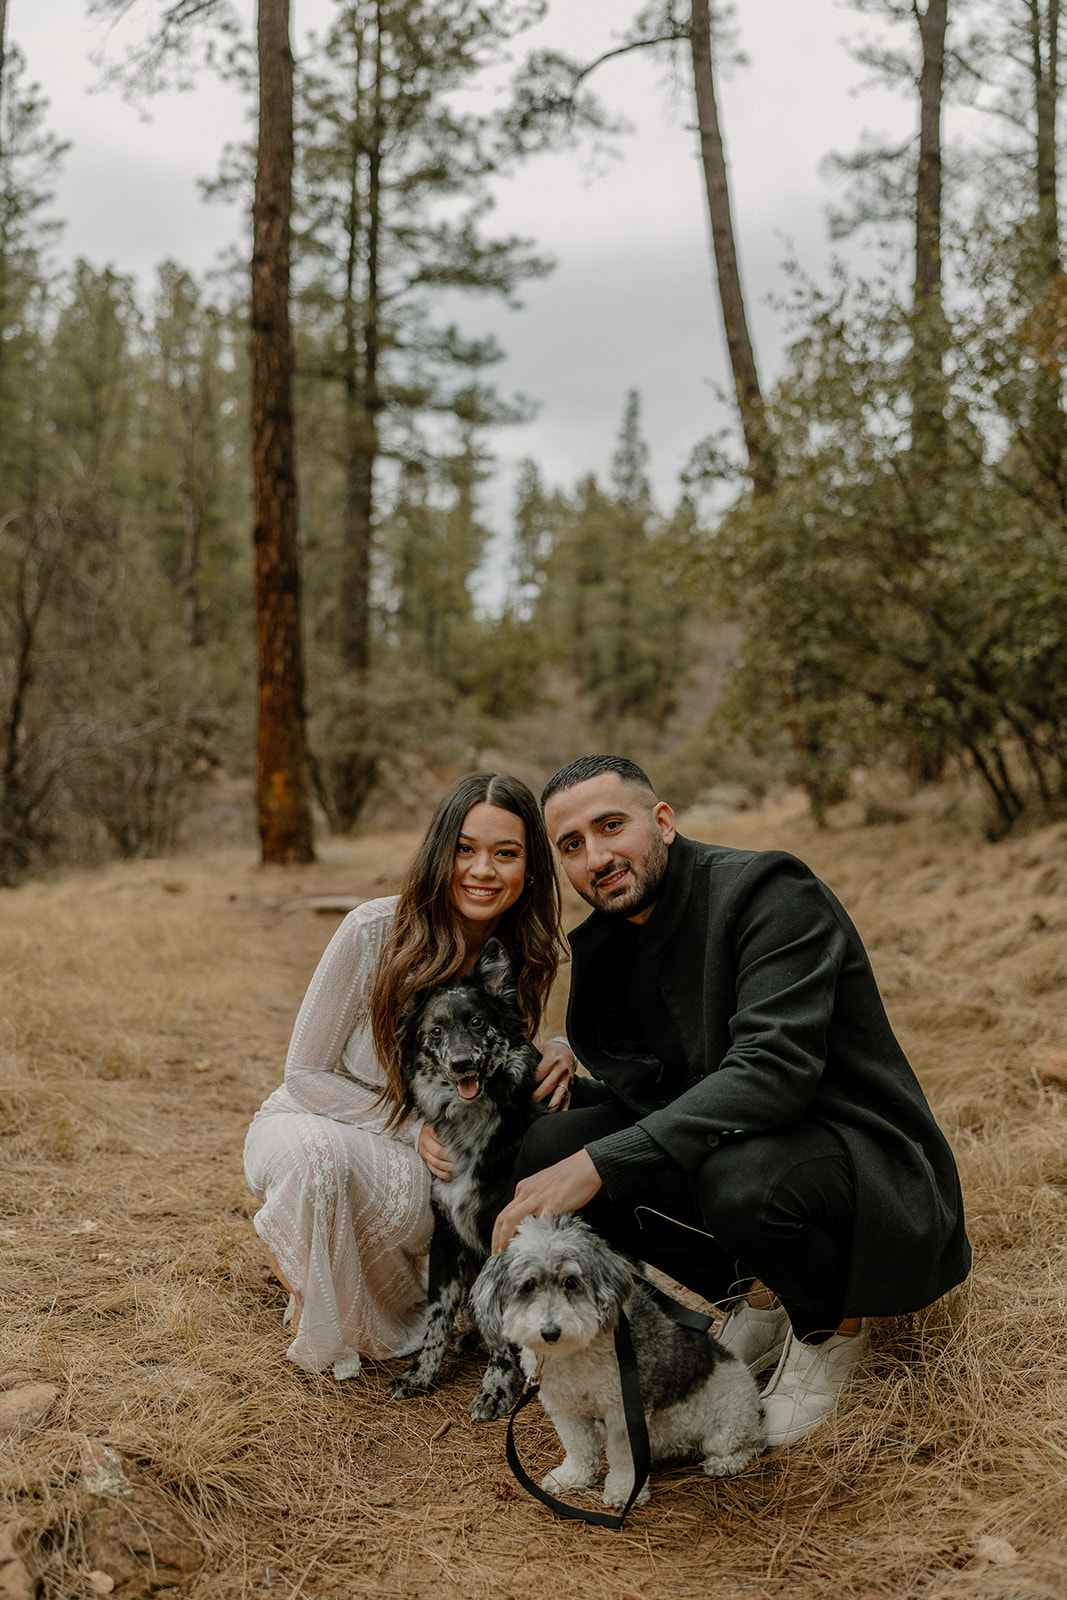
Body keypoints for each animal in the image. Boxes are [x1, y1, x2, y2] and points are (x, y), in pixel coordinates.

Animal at [388, 934, 543, 1427]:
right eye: (435, 1031)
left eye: (477, 1022)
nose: (460, 1064)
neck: (472, 1124)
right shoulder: (446, 1235)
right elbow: (437, 1314)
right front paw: (421, 1375)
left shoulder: (507, 1235)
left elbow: (502, 1328)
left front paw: (495, 1389)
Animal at [470, 1216, 764, 1504]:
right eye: (528, 1285)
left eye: (571, 1282)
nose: (550, 1332)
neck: (574, 1351)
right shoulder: (565, 1408)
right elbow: (578, 1445)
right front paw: (573, 1476)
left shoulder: (623, 1410)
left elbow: (624, 1457)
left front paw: (624, 1492)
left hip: (728, 1427)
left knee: (751, 1445)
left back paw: (724, 1464)